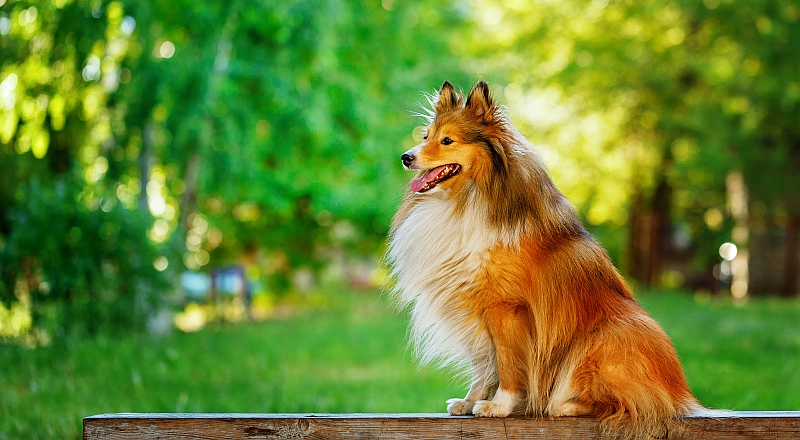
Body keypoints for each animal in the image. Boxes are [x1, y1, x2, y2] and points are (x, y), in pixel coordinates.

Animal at [388, 81, 708, 436]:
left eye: (447, 140)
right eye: (425, 136)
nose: (405, 157)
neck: (468, 198)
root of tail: (682, 395)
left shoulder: (506, 309)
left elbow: (507, 365)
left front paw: (499, 406)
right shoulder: (476, 310)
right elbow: (484, 364)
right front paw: (471, 401)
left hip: (604, 338)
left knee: (640, 403)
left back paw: (565, 404)